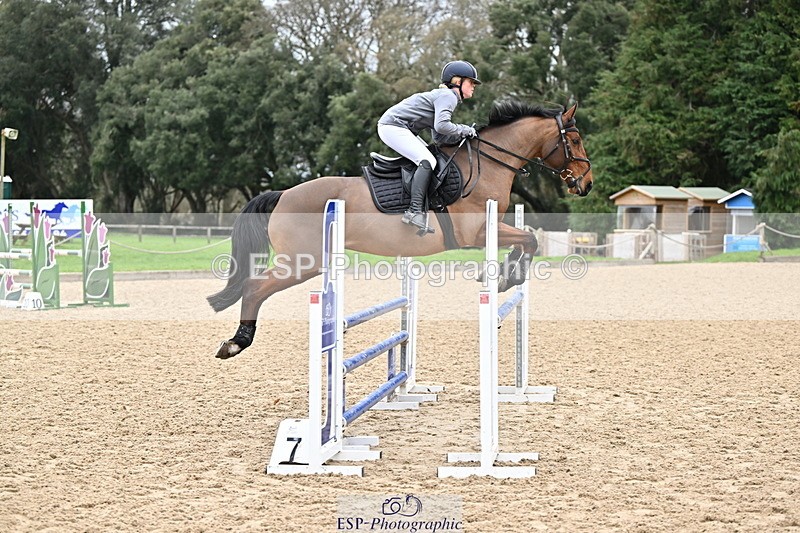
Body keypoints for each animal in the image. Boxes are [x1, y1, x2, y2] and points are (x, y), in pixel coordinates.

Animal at [208, 100, 593, 358]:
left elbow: (526, 239)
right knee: (254, 287)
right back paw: (236, 342)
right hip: (303, 262)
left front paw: (506, 273)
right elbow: (529, 238)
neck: (489, 164)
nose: (586, 184)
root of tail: (284, 194)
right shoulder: (476, 233)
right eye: (574, 141)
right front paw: (507, 277)